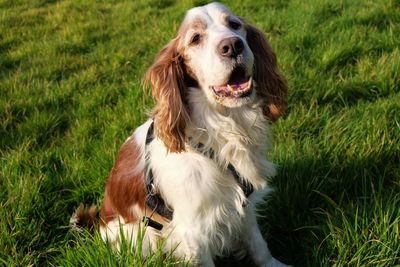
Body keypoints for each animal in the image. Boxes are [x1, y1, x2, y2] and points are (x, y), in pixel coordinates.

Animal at [72, 2, 290, 267]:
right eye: (195, 38)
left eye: (235, 24)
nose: (233, 45)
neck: (221, 128)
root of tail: (100, 224)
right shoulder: (194, 229)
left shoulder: (243, 201)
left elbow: (259, 246)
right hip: (145, 237)